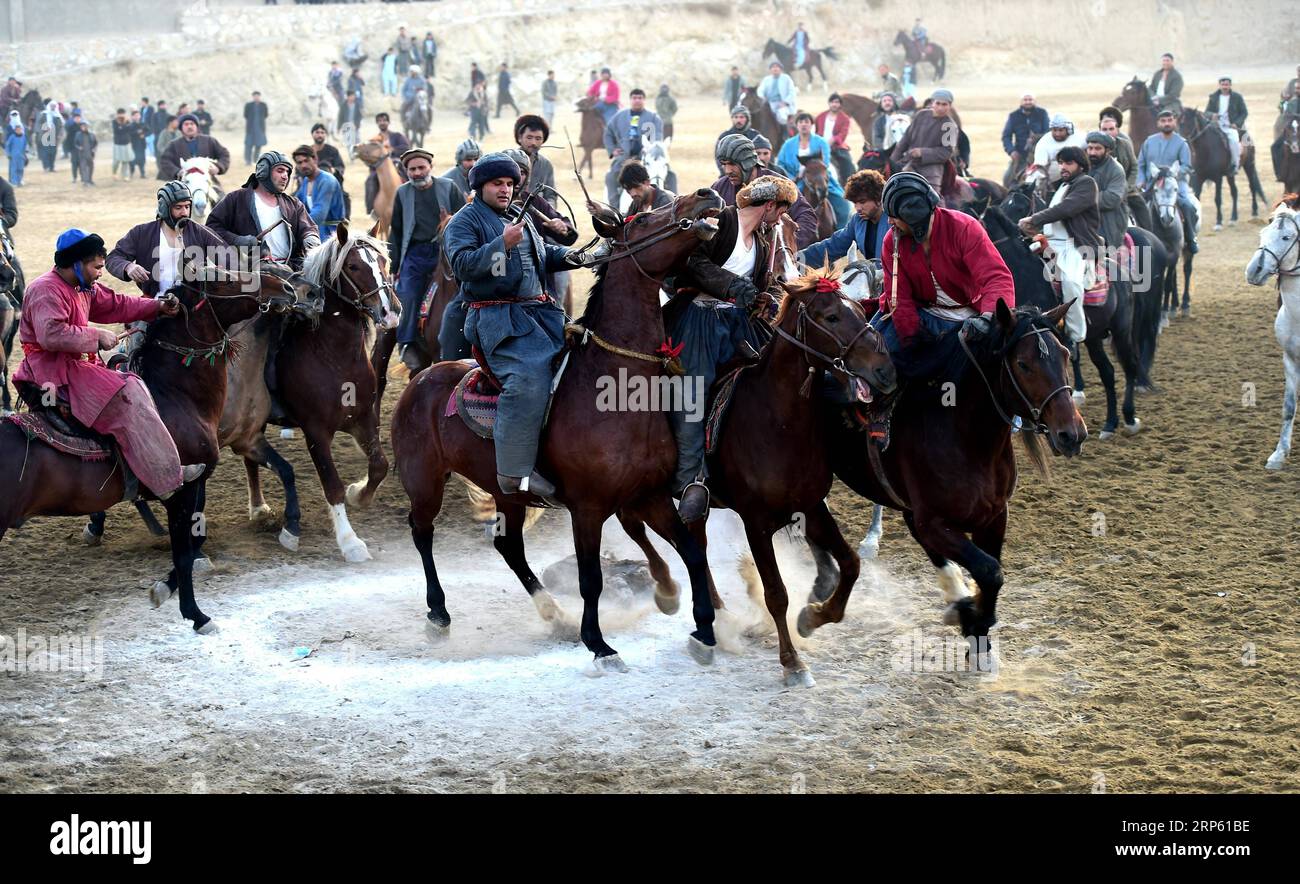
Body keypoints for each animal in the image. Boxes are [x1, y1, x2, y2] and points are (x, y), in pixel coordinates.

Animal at [0, 258, 297, 631]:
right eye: (224, 279)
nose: (285, 288)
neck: (173, 396)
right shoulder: (182, 489)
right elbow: (185, 550)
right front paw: (195, 614)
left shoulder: (196, 485)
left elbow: (194, 541)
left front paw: (164, 589)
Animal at [390, 188, 728, 670]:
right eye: (643, 219)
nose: (704, 194)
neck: (613, 386)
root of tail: (420, 380)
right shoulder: (587, 508)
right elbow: (592, 579)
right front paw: (599, 644)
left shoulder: (651, 495)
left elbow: (691, 552)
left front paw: (703, 629)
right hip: (424, 481)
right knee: (421, 531)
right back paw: (438, 611)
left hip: (506, 491)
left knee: (509, 547)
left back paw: (553, 612)